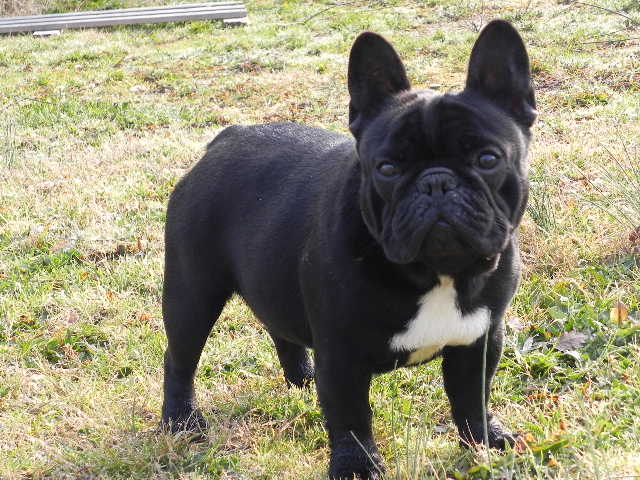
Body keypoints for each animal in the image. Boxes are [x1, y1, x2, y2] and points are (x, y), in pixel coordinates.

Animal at [160, 20, 536, 479]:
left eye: (487, 159)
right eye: (387, 168)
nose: (436, 182)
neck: (435, 272)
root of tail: (225, 139)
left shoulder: (479, 340)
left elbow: (471, 398)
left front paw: (485, 442)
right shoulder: (341, 357)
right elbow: (352, 417)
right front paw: (357, 467)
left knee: (281, 329)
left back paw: (302, 381)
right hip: (192, 292)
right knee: (181, 357)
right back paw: (181, 422)